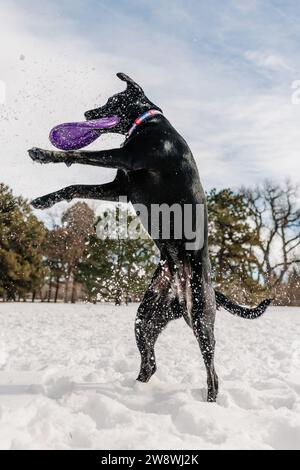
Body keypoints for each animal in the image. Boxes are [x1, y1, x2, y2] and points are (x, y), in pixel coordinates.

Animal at [28, 72, 272, 400]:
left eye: (112, 100)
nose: (88, 114)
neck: (147, 123)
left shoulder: (126, 157)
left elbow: (80, 154)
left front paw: (43, 154)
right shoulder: (120, 187)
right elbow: (74, 186)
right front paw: (45, 200)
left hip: (200, 317)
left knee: (213, 372)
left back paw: (208, 402)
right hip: (146, 318)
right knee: (151, 363)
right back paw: (135, 390)